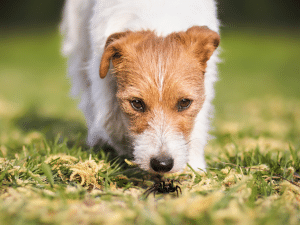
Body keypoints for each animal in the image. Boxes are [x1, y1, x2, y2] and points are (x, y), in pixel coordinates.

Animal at [61, 0, 220, 174]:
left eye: (184, 102)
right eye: (137, 103)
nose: (162, 164)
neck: (158, 15)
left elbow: (199, 126)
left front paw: (195, 166)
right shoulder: (102, 82)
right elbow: (111, 122)